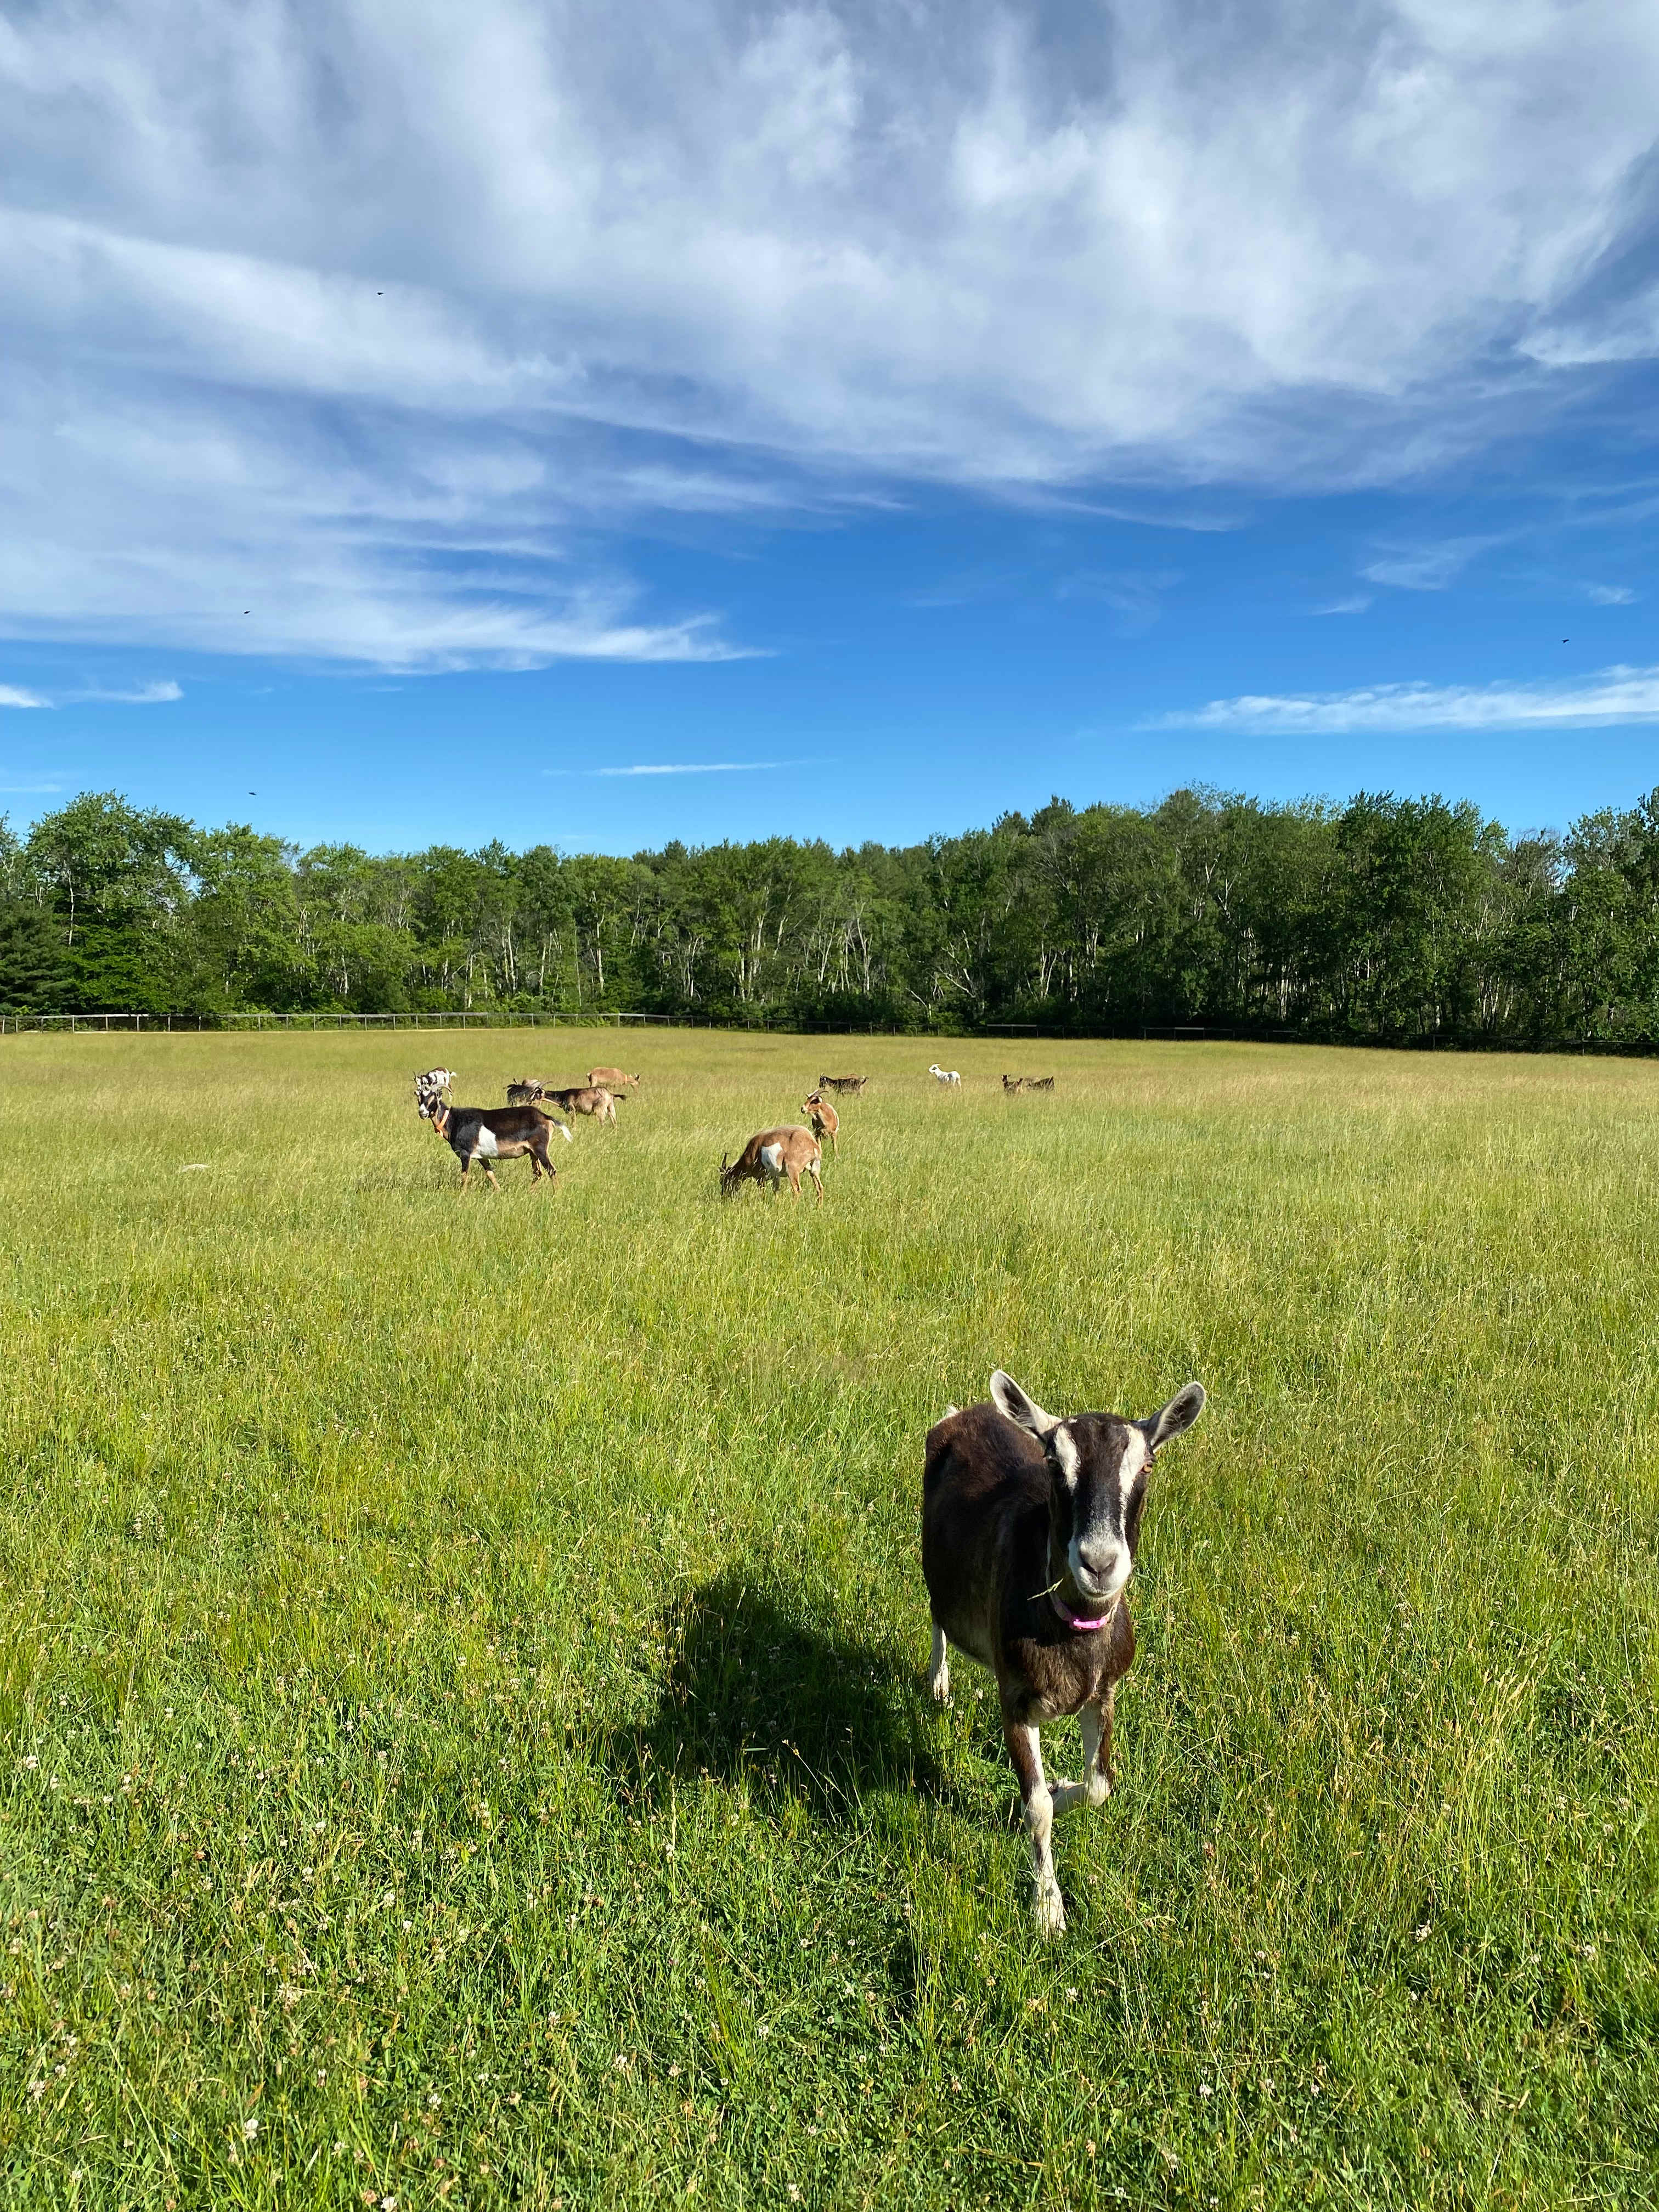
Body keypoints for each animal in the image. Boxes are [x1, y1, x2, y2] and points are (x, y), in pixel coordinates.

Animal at [415, 1076, 572, 1190]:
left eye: (433, 1097)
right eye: (420, 1098)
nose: (422, 1112)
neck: (453, 1120)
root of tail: (546, 1117)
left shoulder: (466, 1154)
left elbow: (464, 1177)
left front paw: (461, 1197)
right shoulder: (482, 1156)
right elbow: (490, 1173)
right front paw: (499, 1191)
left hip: (540, 1149)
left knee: (551, 1171)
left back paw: (557, 1195)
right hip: (532, 1152)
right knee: (538, 1173)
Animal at [720, 1125, 823, 1202]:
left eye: (724, 1180)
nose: (723, 1196)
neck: (754, 1150)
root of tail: (811, 1142)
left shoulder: (760, 1179)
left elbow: (762, 1193)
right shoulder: (775, 1177)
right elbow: (775, 1191)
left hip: (792, 1172)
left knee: (797, 1191)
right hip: (813, 1171)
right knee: (820, 1188)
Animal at [921, 1368, 1205, 1936]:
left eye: (1147, 1464)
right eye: (1053, 1462)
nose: (1100, 1563)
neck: (1073, 1635)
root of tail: (959, 1415)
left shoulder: (1104, 1693)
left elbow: (1099, 1786)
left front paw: (1061, 1783)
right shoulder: (1014, 1701)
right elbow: (1037, 1810)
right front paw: (1048, 1908)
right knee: (939, 1615)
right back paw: (939, 1685)